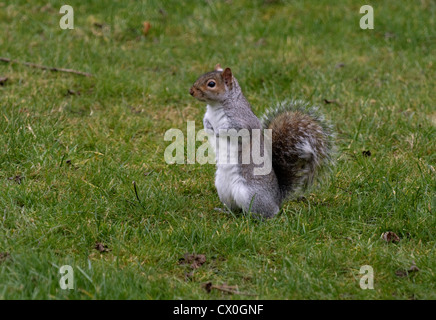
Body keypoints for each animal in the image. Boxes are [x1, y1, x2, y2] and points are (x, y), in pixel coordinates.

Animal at [188, 65, 334, 220]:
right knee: (235, 208)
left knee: (267, 212)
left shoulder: (243, 121)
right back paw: (226, 211)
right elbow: (206, 123)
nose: (191, 91)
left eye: (211, 84)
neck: (215, 106)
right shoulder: (208, 116)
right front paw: (209, 126)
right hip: (223, 189)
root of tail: (277, 198)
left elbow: (235, 130)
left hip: (251, 195)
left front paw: (218, 130)